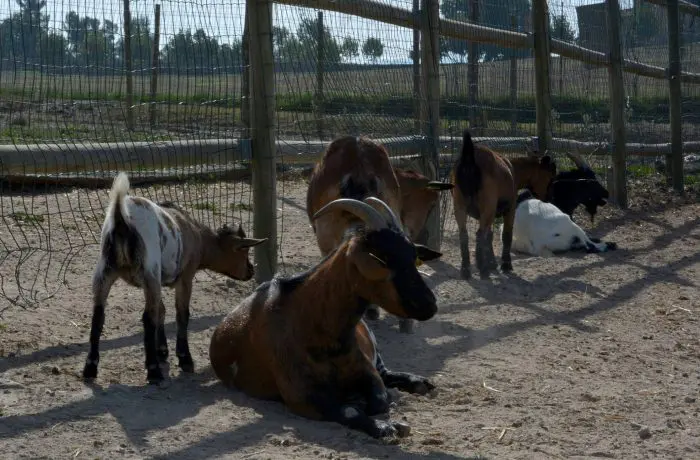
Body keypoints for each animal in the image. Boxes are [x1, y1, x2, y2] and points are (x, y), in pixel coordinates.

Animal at [452, 131, 556, 278]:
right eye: (551, 175)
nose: (550, 197)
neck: (514, 171)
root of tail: (469, 159)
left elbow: (489, 236)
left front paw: (492, 264)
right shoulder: (510, 208)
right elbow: (506, 235)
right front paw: (505, 265)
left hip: (460, 204)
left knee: (465, 235)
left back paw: (466, 269)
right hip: (487, 205)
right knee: (479, 235)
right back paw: (483, 269)